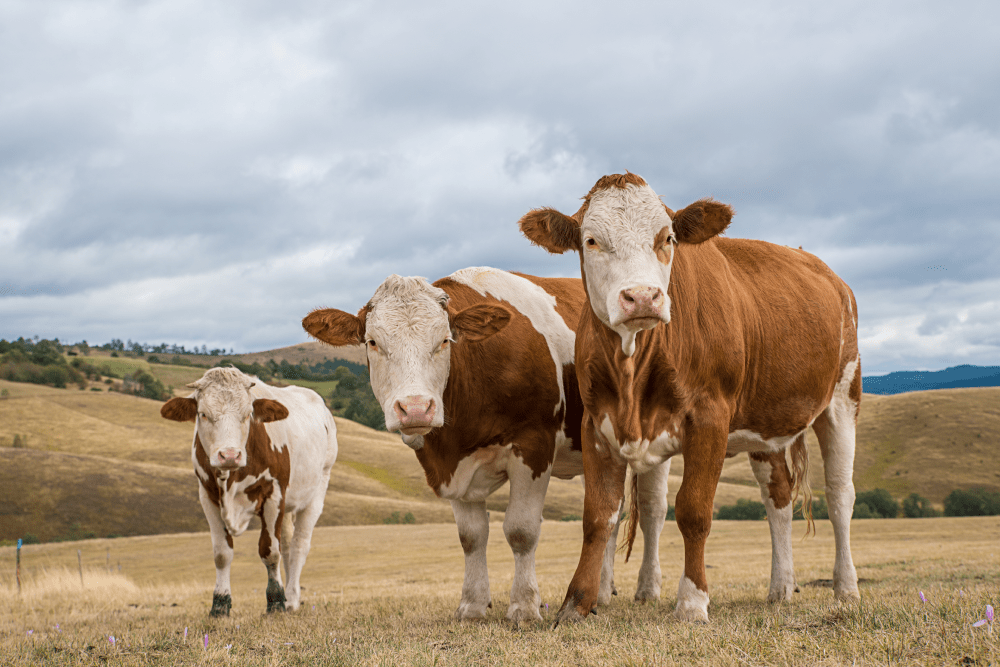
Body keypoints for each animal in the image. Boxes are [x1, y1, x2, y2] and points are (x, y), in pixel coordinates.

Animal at [160, 368, 338, 620]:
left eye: (247, 415)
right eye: (203, 414)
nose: (229, 455)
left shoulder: (274, 494)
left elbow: (270, 551)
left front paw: (276, 602)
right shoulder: (208, 496)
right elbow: (222, 553)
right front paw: (220, 604)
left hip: (317, 492)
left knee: (299, 545)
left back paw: (291, 598)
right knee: (287, 544)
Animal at [304, 268, 676, 628]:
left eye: (444, 340)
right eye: (372, 342)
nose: (415, 408)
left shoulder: (533, 448)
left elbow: (521, 530)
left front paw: (524, 607)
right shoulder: (453, 465)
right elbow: (471, 536)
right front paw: (472, 605)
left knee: (652, 511)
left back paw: (647, 589)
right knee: (610, 510)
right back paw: (601, 591)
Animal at [520, 175, 864, 624]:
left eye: (667, 238)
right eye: (591, 240)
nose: (642, 297)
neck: (635, 366)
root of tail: (831, 275)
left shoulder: (710, 419)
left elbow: (694, 510)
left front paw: (692, 601)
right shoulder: (597, 424)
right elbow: (599, 515)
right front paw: (576, 604)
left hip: (843, 398)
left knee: (840, 496)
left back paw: (846, 588)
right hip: (766, 423)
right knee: (778, 498)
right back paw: (781, 587)